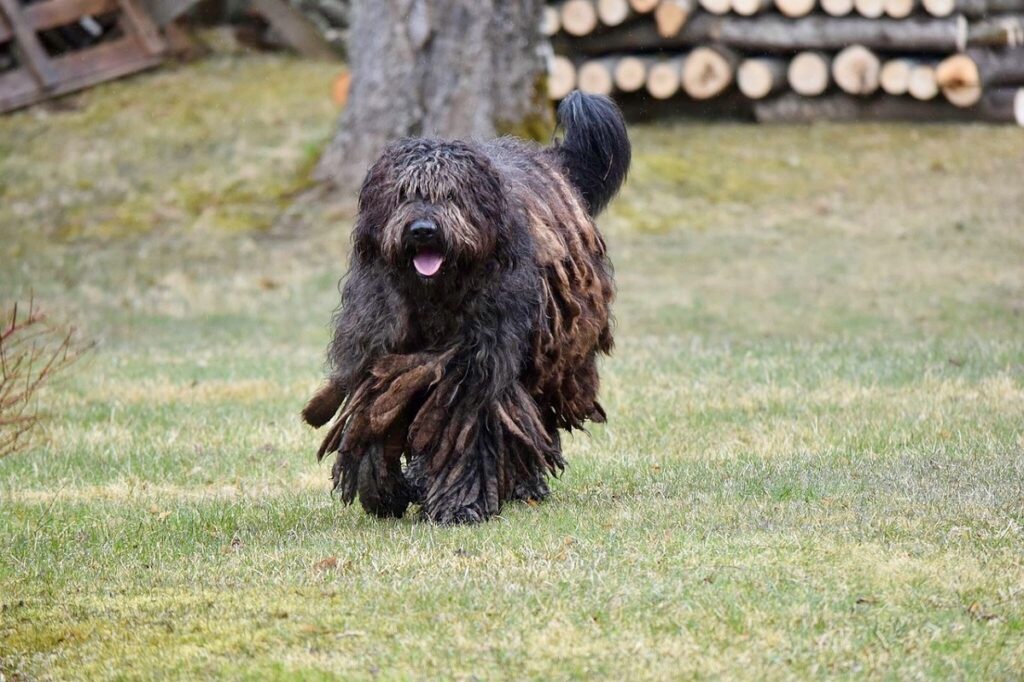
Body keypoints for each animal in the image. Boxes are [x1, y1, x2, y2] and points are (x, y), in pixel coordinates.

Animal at [299, 90, 626, 522]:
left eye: (451, 195)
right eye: (403, 195)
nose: (423, 230)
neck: (434, 295)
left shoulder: (474, 367)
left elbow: (469, 432)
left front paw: (458, 505)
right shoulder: (380, 352)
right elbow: (374, 416)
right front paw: (384, 491)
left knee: (531, 415)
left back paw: (524, 485)